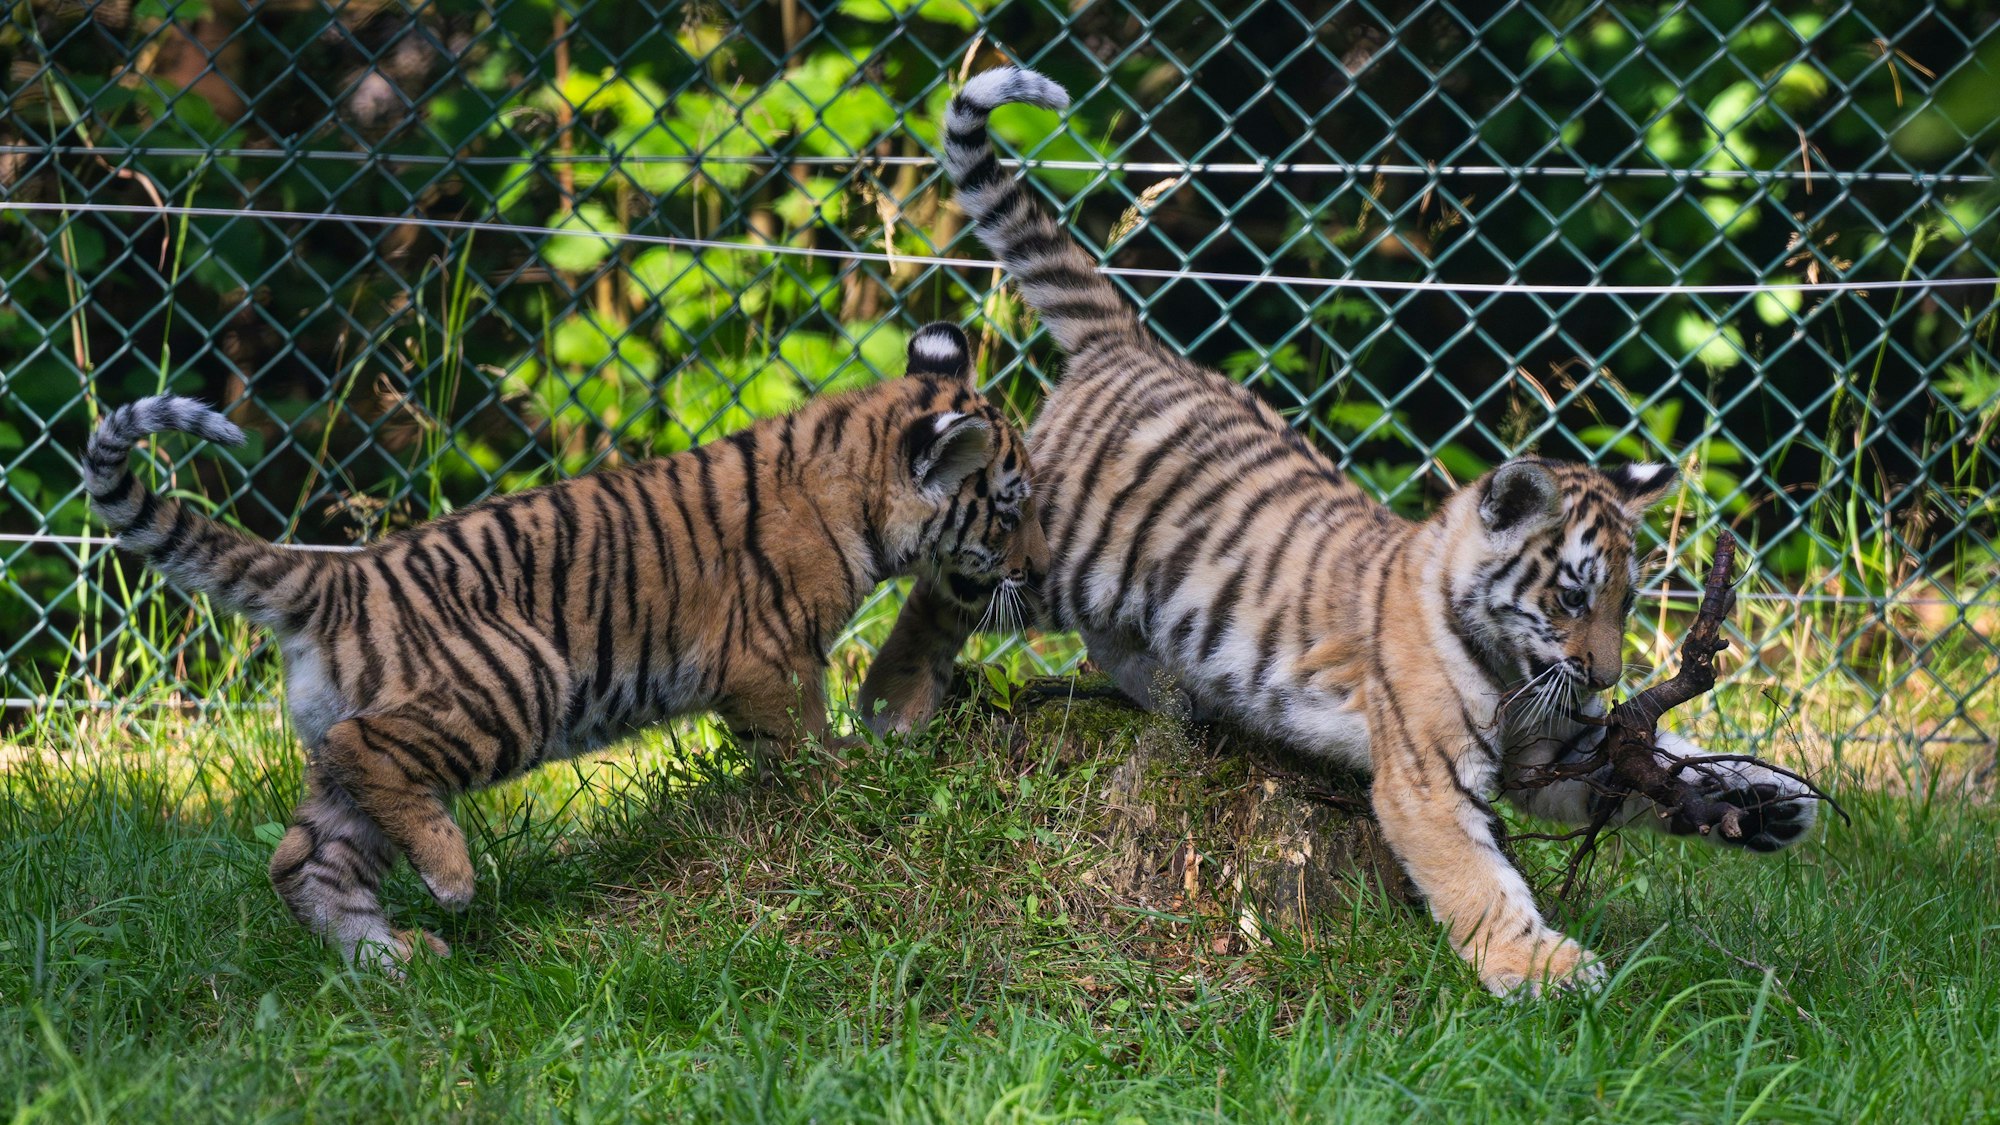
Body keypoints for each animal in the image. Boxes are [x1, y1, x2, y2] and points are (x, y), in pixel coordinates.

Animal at [84, 322, 1046, 973]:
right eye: (1009, 508)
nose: (1035, 572)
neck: (861, 491)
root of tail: (342, 578)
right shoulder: (771, 661)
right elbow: (803, 744)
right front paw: (846, 787)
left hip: (348, 757)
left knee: (303, 861)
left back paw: (391, 961)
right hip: (515, 682)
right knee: (370, 756)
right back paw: (452, 876)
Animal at [859, 66, 1819, 997]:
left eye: (1628, 601)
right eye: (1572, 597)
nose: (1608, 676)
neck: (1506, 658)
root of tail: (1130, 344)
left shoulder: (1552, 745)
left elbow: (1647, 764)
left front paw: (1771, 799)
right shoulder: (1429, 778)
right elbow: (1483, 881)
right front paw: (1542, 971)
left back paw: (1174, 693)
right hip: (1047, 555)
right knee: (945, 585)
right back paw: (888, 709)